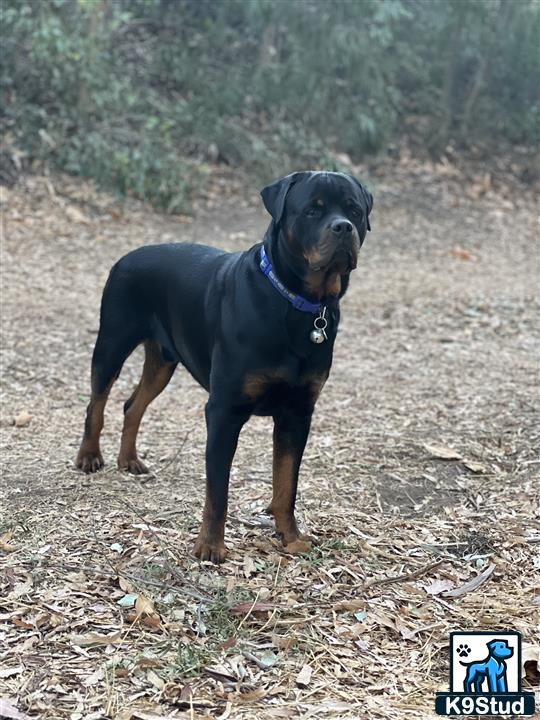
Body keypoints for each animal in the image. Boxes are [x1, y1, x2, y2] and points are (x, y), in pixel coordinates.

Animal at [76, 170, 372, 564]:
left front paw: (291, 537)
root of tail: (127, 256)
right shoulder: (224, 411)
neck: (297, 303)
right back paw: (89, 456)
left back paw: (129, 460)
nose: (342, 228)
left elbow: (286, 482)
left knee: (133, 404)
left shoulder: (298, 413)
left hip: (163, 359)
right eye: (312, 210)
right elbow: (218, 489)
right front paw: (211, 545)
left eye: (354, 210)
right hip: (113, 341)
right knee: (97, 401)